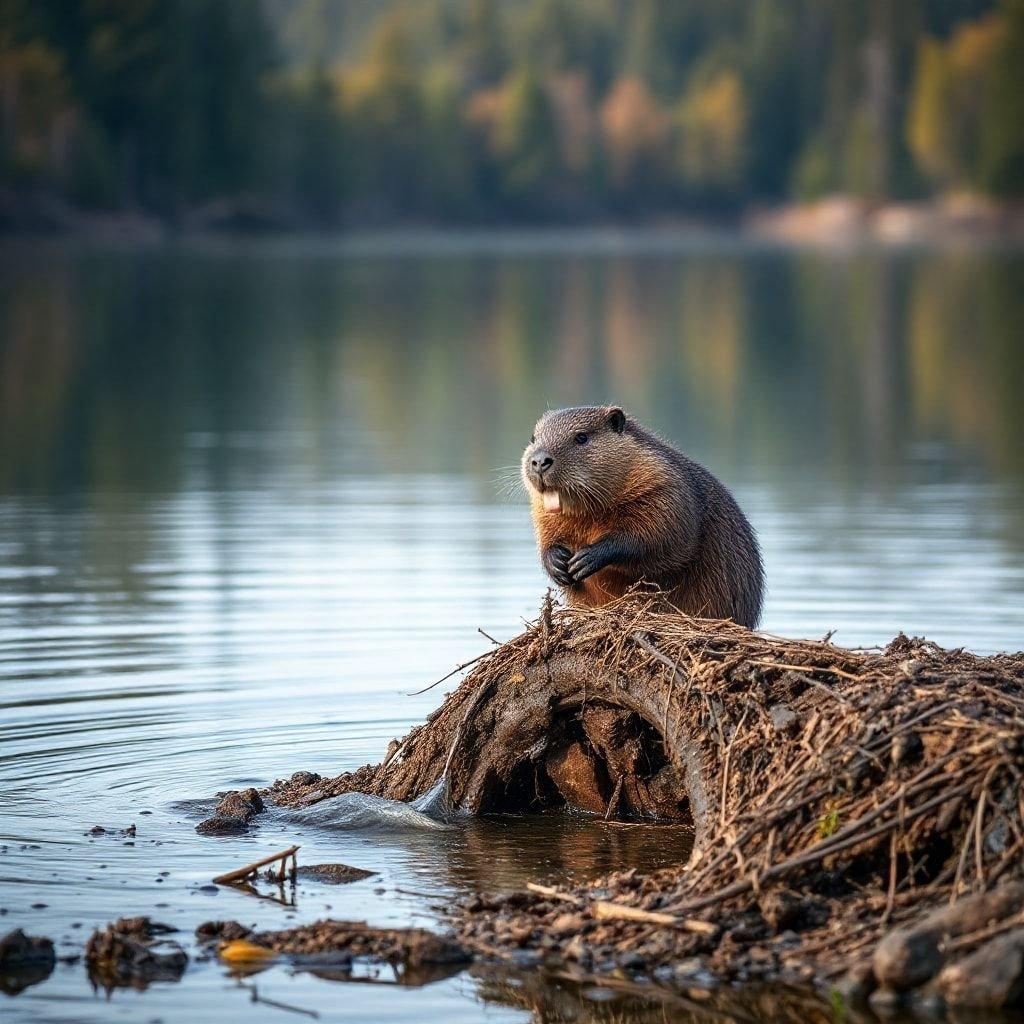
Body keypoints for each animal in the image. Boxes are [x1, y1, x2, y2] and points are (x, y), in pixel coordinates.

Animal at [524, 403, 765, 626]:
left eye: (581, 437)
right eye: (533, 438)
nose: (540, 461)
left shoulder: (666, 487)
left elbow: (661, 535)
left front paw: (585, 559)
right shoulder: (544, 514)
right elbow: (547, 536)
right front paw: (557, 563)